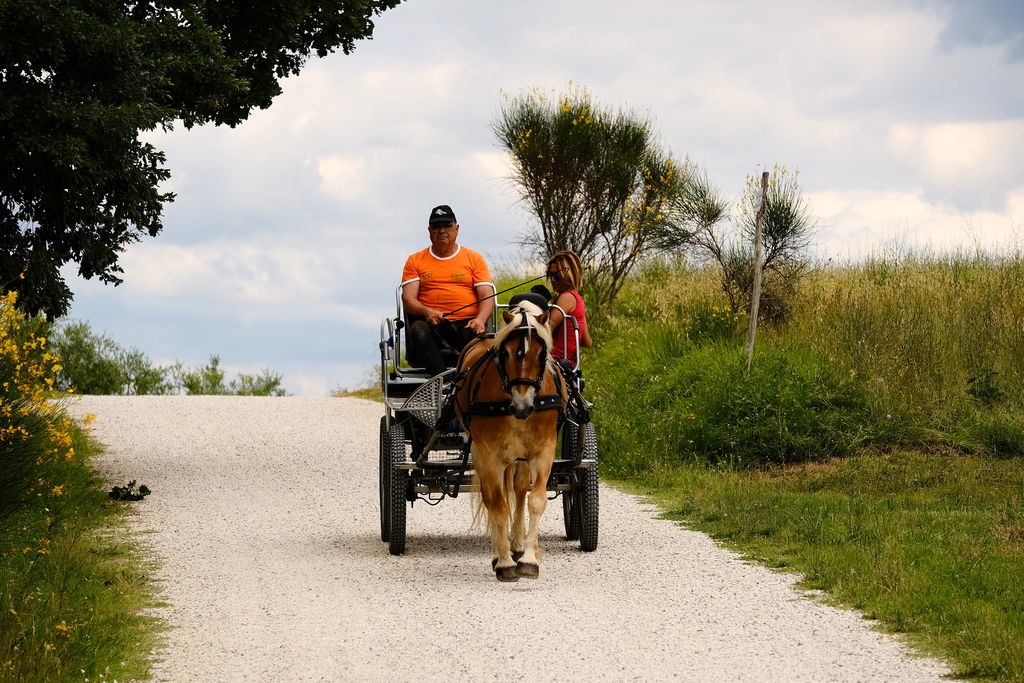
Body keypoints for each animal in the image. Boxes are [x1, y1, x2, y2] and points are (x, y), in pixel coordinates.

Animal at [452, 298, 567, 582]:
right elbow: (498, 506)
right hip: (480, 453)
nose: (522, 407)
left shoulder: (543, 451)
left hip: (521, 456)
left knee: (520, 489)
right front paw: (504, 562)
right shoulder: (491, 457)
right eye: (504, 353)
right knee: (491, 497)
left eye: (542, 353)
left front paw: (528, 559)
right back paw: (500, 553)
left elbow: (535, 500)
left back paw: (518, 545)